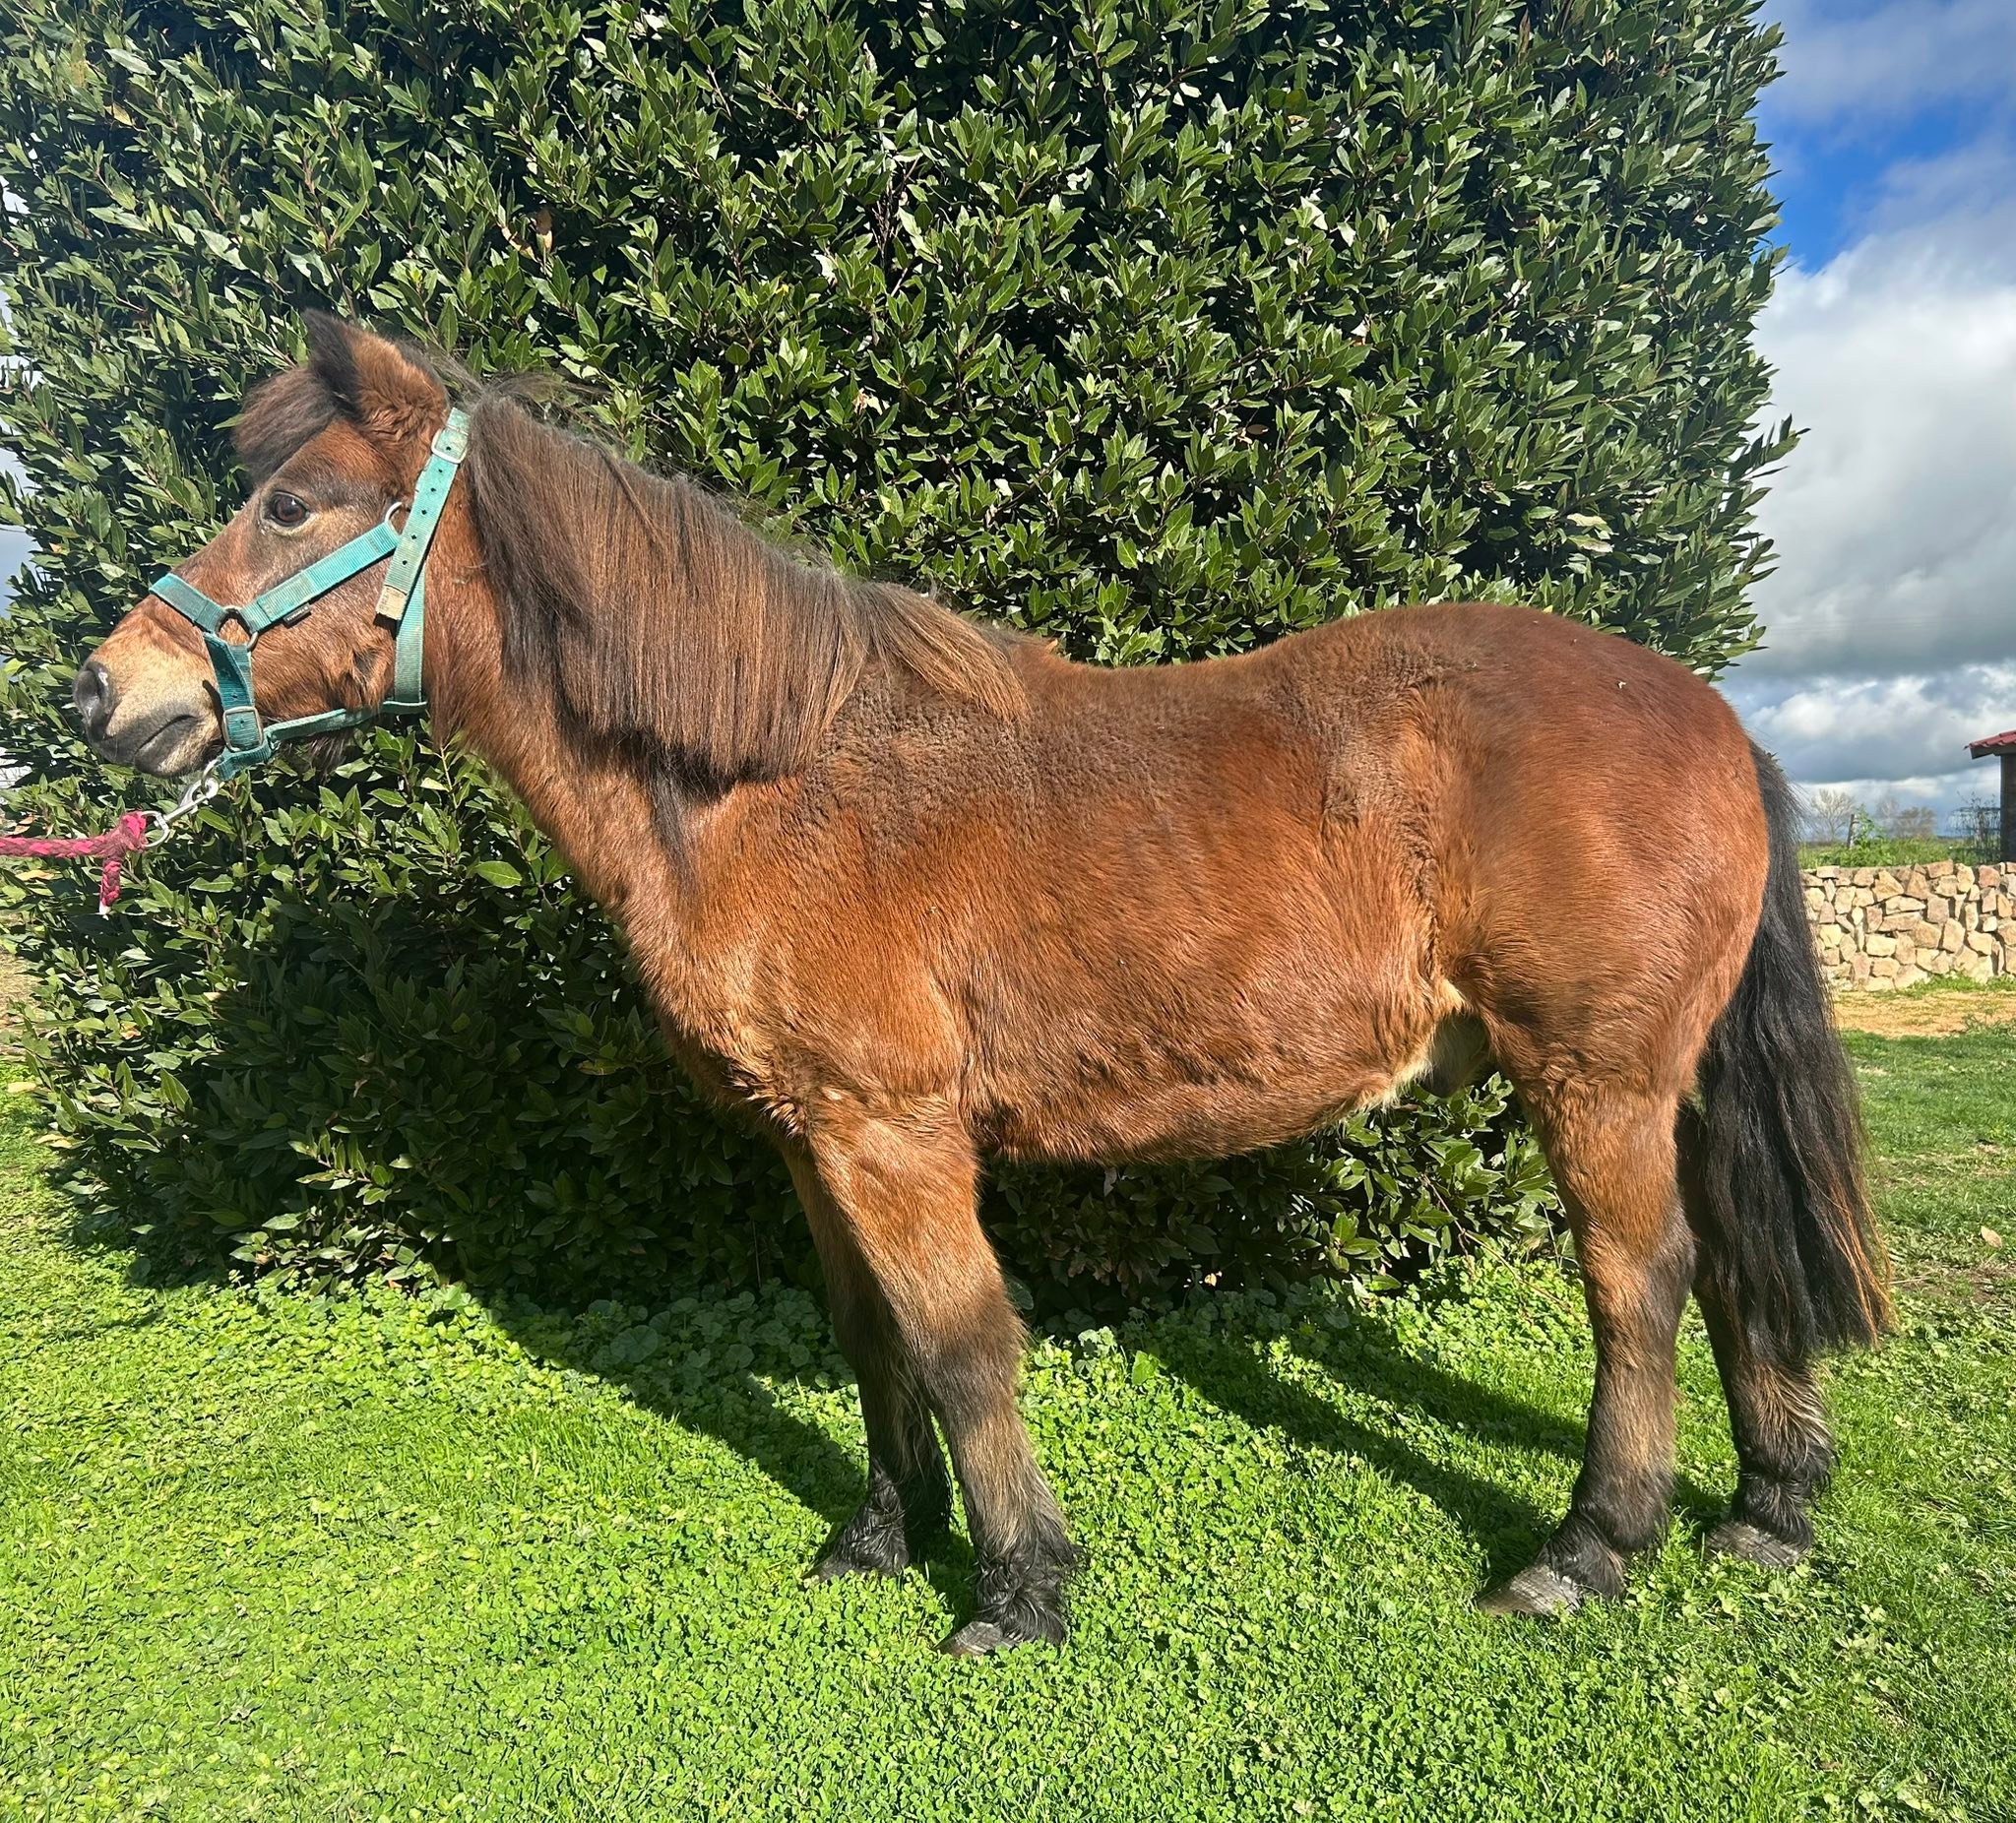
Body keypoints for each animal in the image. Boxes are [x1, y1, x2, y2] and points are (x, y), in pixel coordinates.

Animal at [74, 315, 1888, 1654]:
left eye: (293, 506)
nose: (108, 694)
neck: (772, 782)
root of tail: (1704, 713)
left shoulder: (895, 1134)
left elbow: (959, 1347)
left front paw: (1018, 1587)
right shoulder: (811, 1140)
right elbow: (871, 1342)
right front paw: (882, 1538)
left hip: (1594, 1079)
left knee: (1640, 1282)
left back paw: (1590, 1546)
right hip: (1669, 1080)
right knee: (1741, 1262)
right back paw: (1765, 1511)